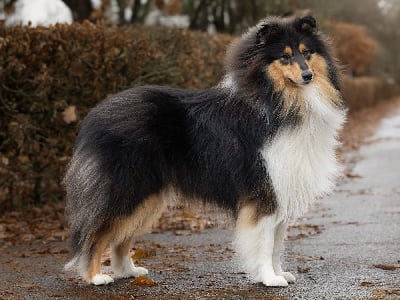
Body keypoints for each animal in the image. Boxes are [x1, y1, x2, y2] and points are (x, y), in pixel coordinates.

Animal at [64, 14, 346, 286]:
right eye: (285, 57)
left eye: (306, 52)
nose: (308, 75)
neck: (278, 100)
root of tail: (95, 115)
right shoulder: (265, 192)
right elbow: (265, 244)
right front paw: (269, 279)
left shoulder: (281, 191)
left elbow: (277, 245)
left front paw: (279, 274)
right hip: (128, 189)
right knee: (96, 233)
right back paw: (95, 277)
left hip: (148, 197)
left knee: (121, 238)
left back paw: (129, 271)